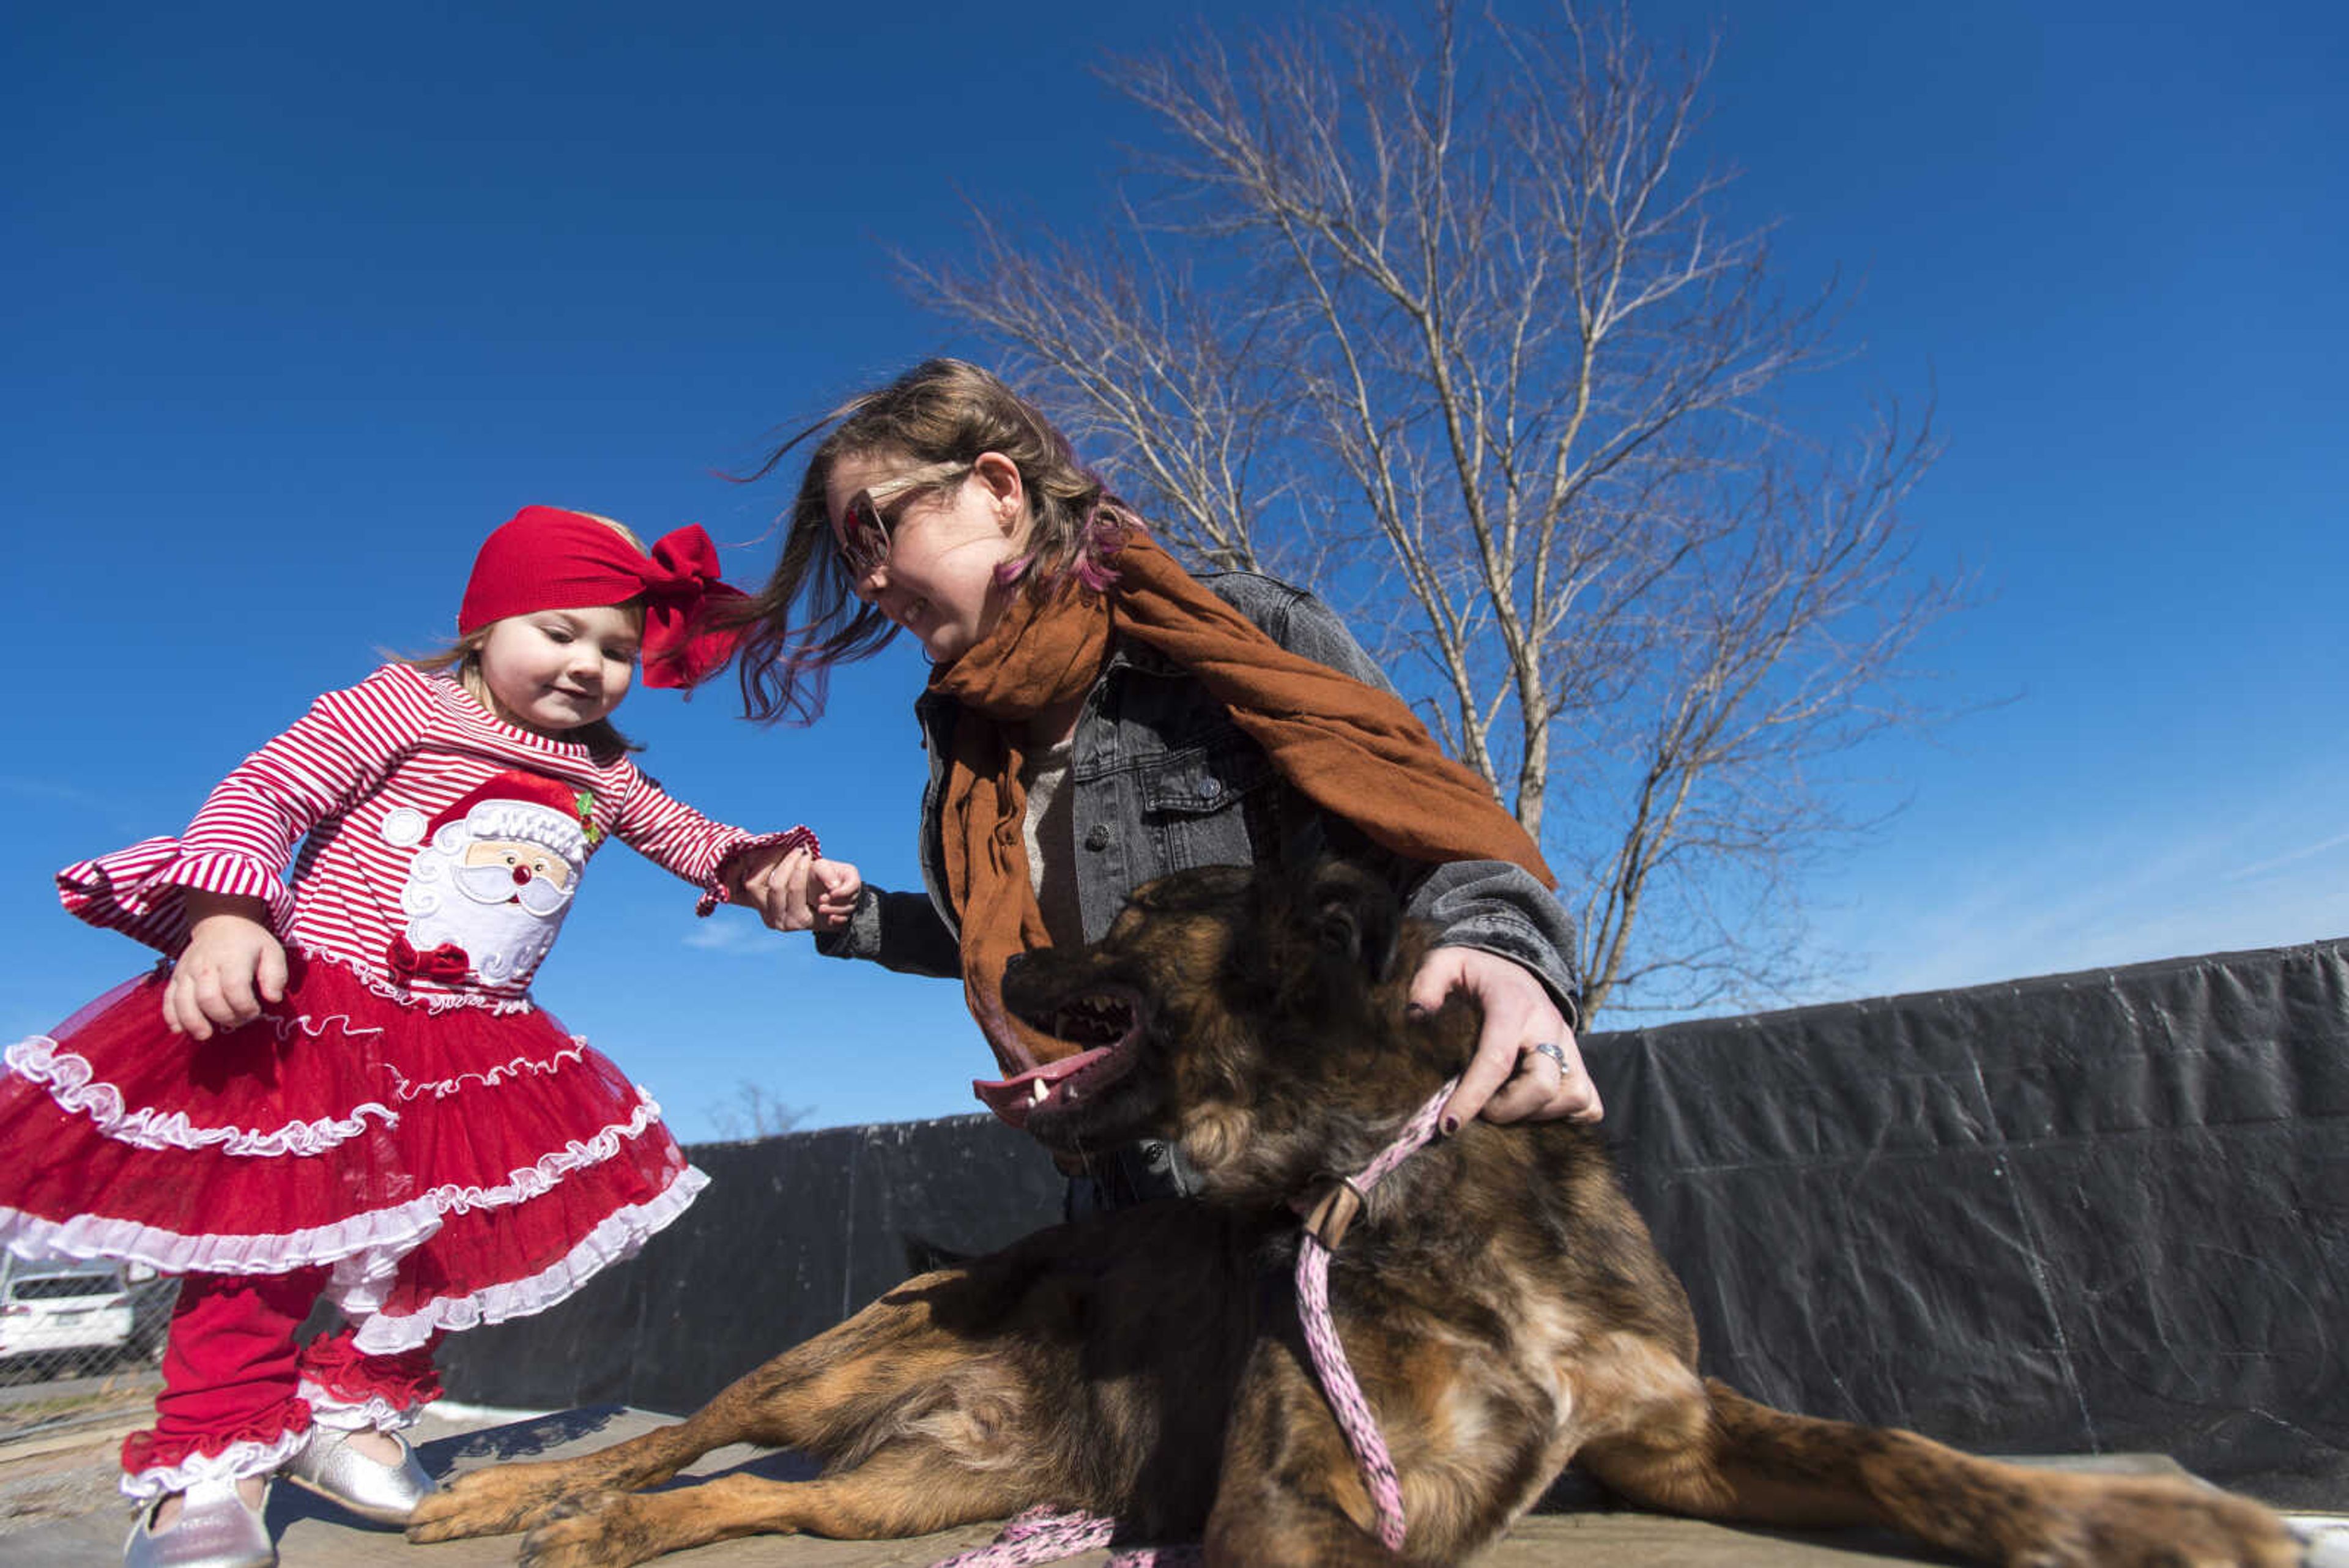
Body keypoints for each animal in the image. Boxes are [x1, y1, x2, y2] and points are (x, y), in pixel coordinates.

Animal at [409, 865, 2311, 1561]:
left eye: (1126, 924)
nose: (989, 947)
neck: (1385, 1162)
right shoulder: (1292, 1500)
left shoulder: (1666, 1431)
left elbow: (1897, 1451)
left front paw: (2144, 1518)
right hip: (832, 1365)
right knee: (673, 1442)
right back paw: (502, 1496)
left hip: (918, 1492)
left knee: (735, 1507)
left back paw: (600, 1539)